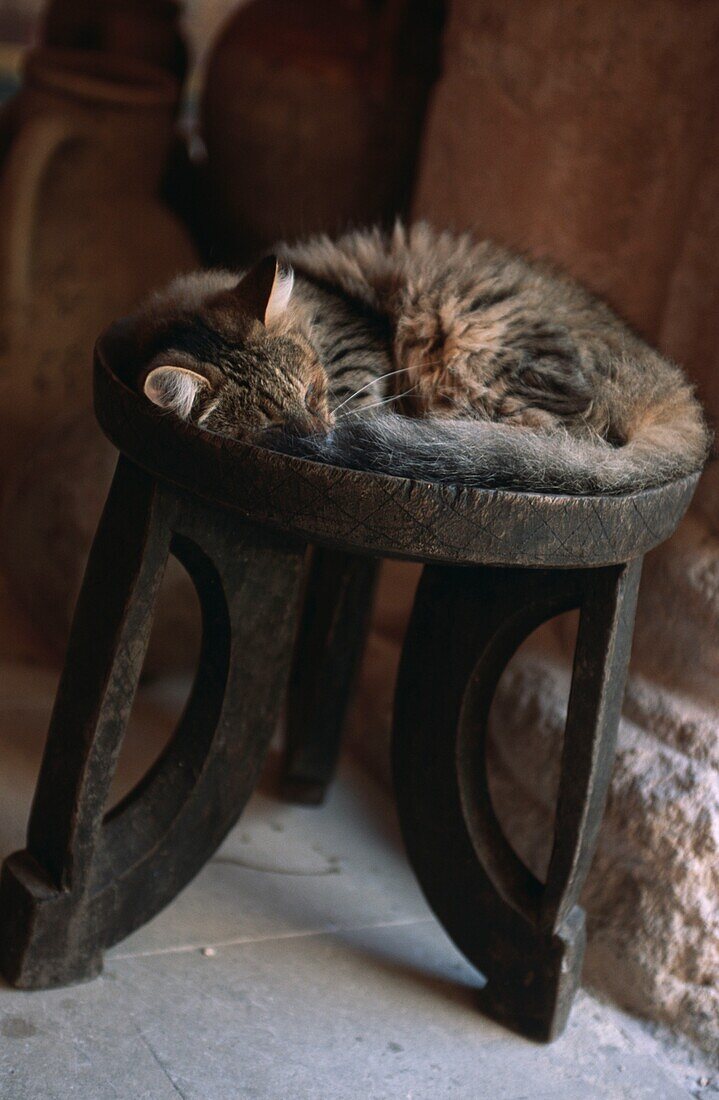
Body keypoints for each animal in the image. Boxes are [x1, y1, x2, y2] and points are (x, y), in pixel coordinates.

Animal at [132, 223, 712, 495]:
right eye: (271, 423)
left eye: (313, 392)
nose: (317, 438)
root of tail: (673, 387)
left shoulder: (357, 350)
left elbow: (358, 395)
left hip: (482, 344)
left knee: (553, 438)